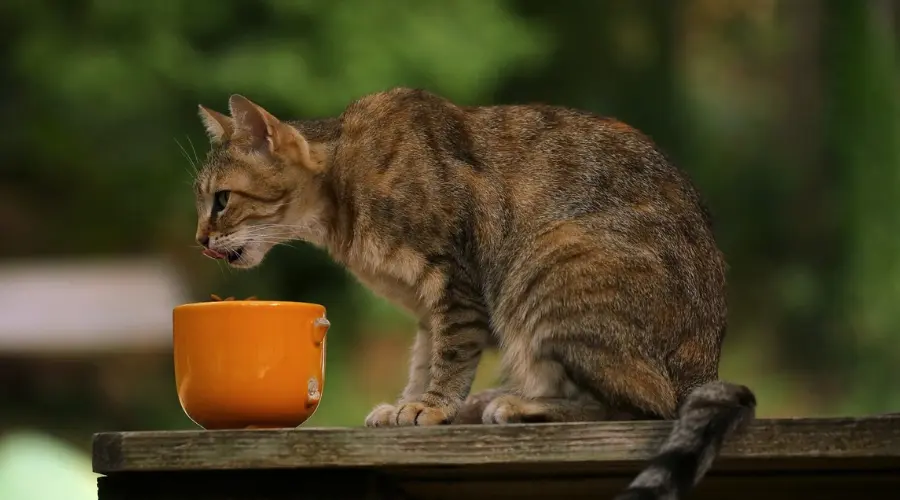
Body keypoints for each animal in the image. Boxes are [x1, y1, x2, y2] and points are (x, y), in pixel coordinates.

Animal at [193, 88, 756, 498]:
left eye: (221, 200)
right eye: (203, 202)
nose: (199, 239)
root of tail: (704, 368)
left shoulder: (455, 280)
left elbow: (451, 354)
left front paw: (432, 406)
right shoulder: (428, 307)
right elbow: (424, 358)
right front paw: (411, 403)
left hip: (551, 264)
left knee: (644, 405)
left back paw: (518, 406)